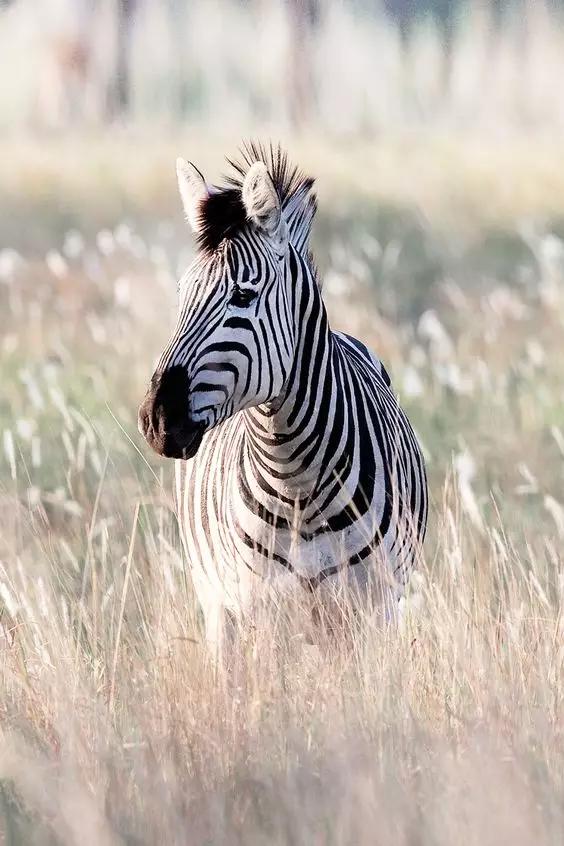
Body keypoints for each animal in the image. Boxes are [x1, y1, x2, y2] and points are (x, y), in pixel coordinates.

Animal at [138, 142, 428, 652]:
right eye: (181, 292)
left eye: (243, 296)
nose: (157, 419)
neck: (296, 479)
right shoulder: (260, 610)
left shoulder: (375, 608)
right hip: (217, 603)